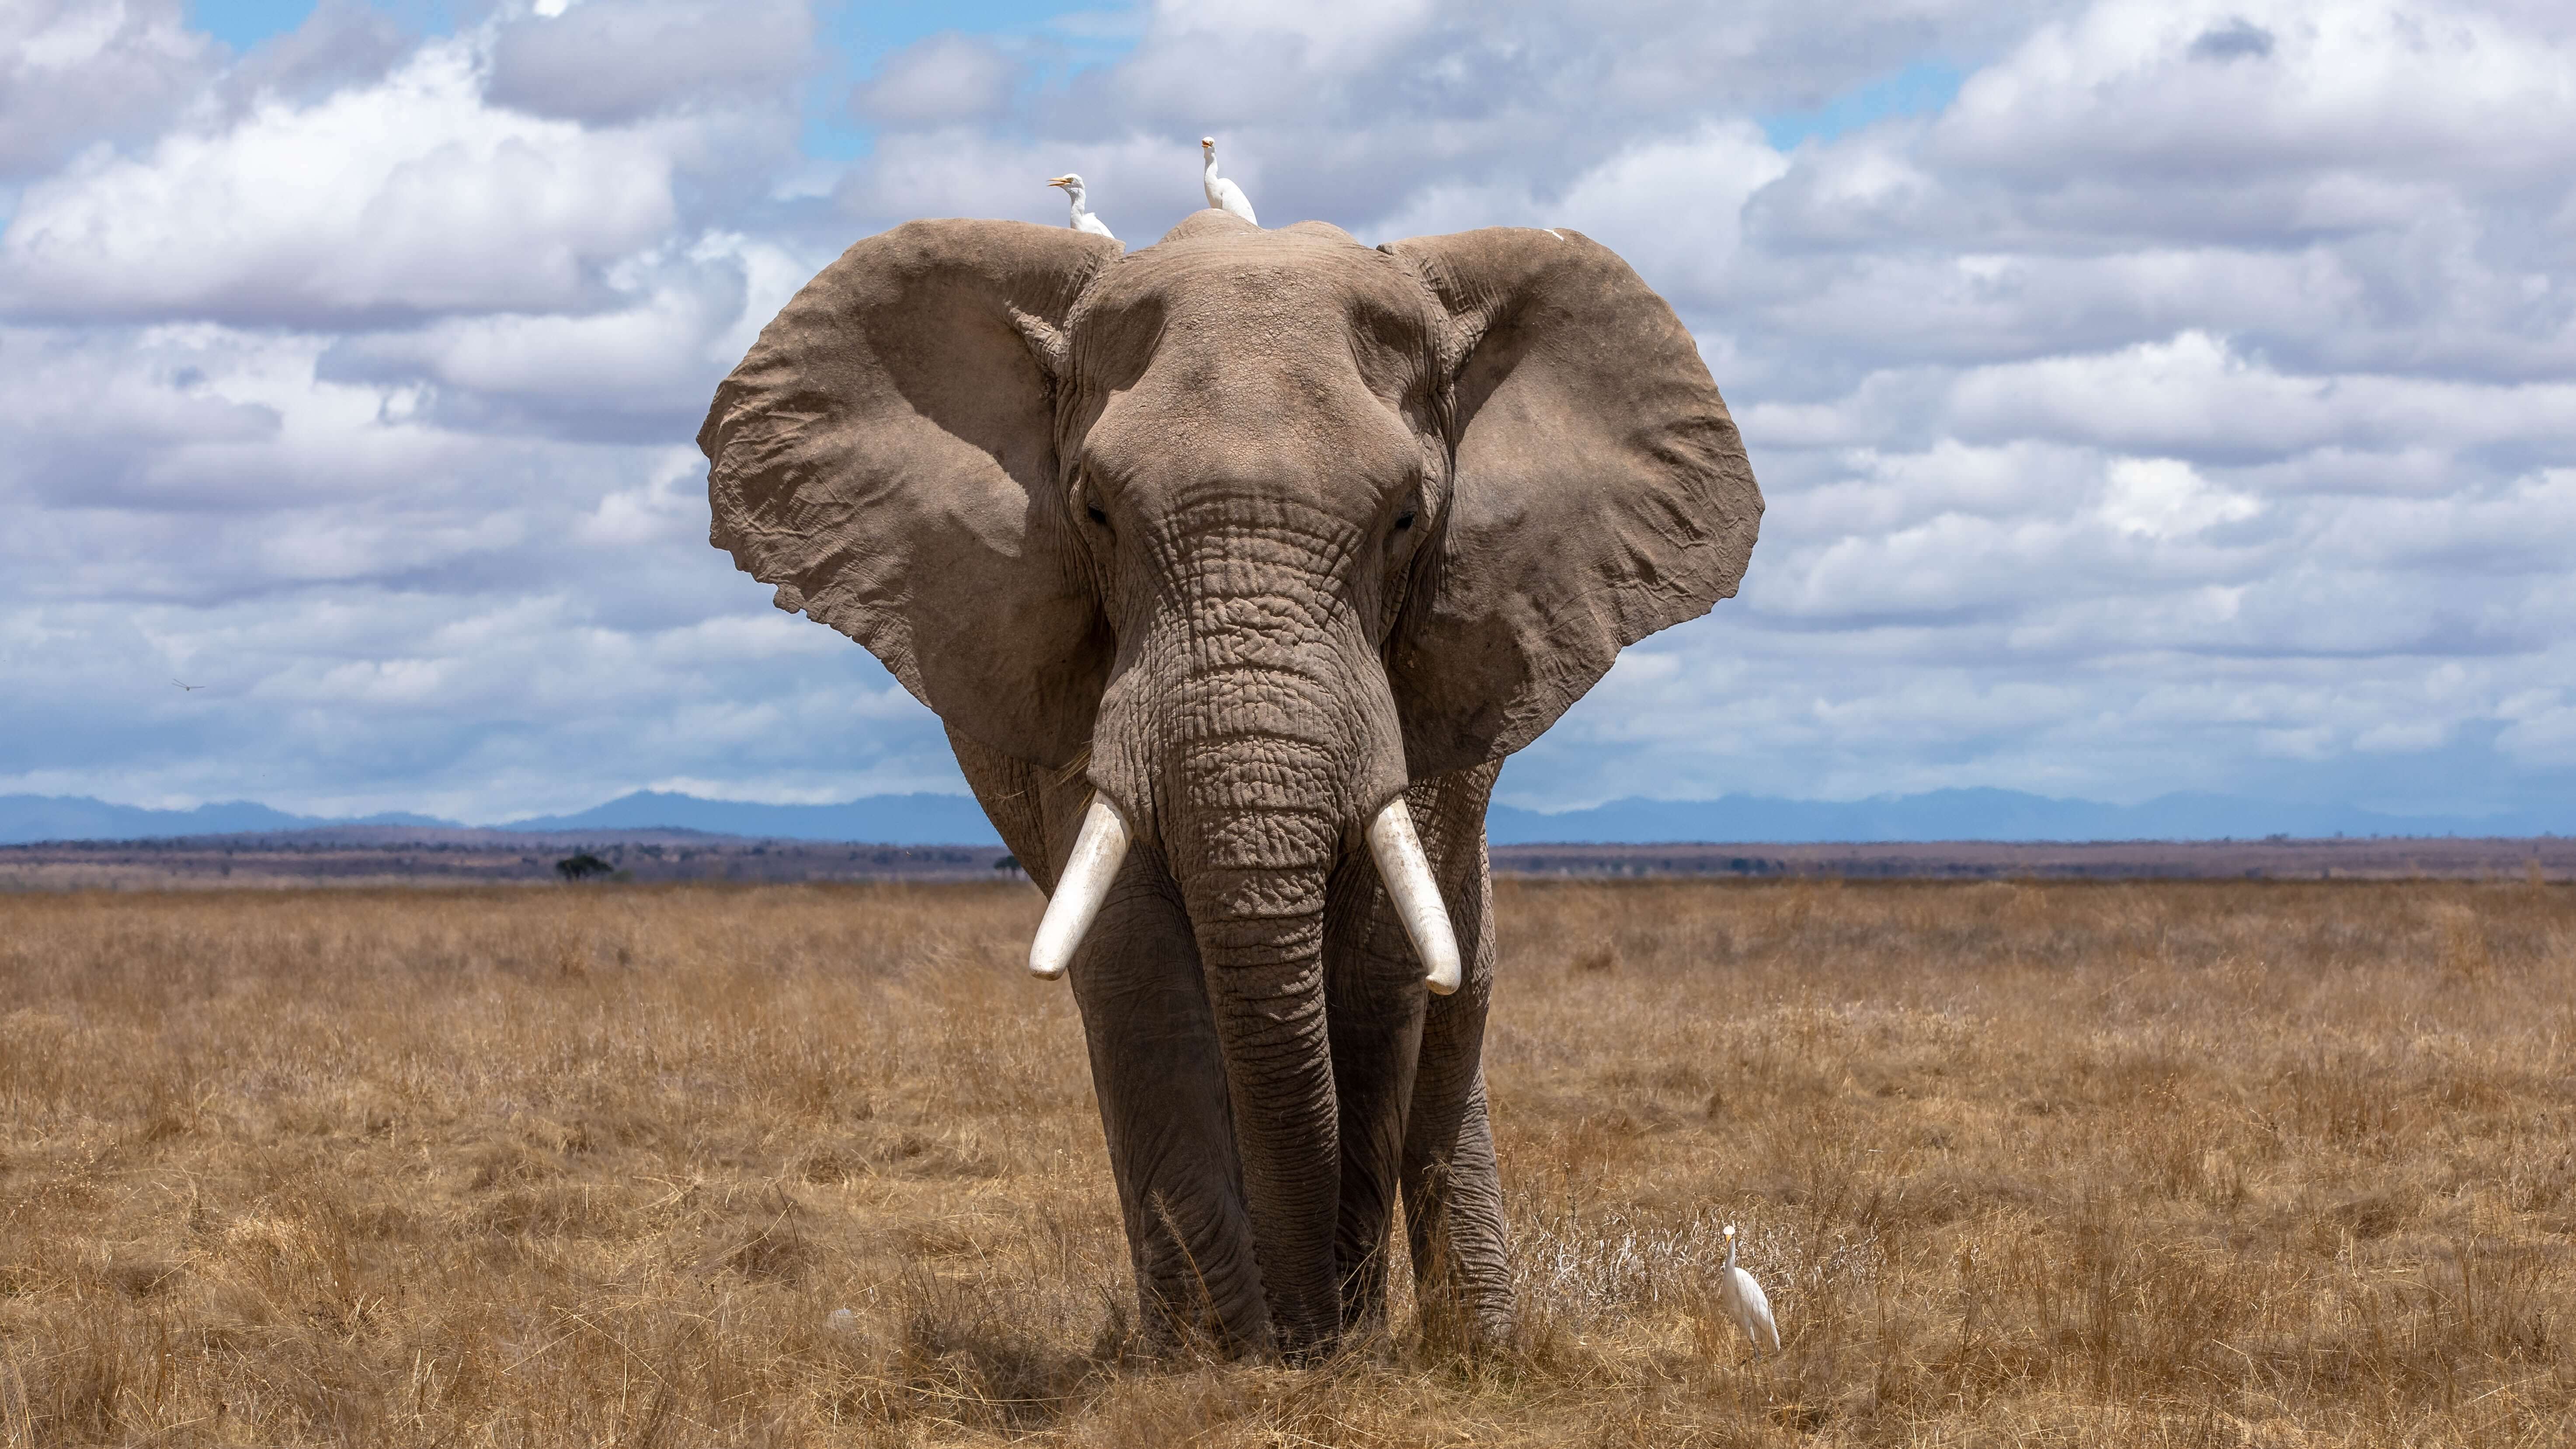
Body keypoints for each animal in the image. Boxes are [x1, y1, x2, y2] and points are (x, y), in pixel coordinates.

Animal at [695, 207, 1762, 1359]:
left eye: (1405, 519)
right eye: (1095, 513)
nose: (1308, 1335)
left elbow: (1378, 970)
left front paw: (1334, 1351)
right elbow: (1137, 966)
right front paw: (1221, 1362)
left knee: (1455, 996)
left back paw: (1478, 1347)